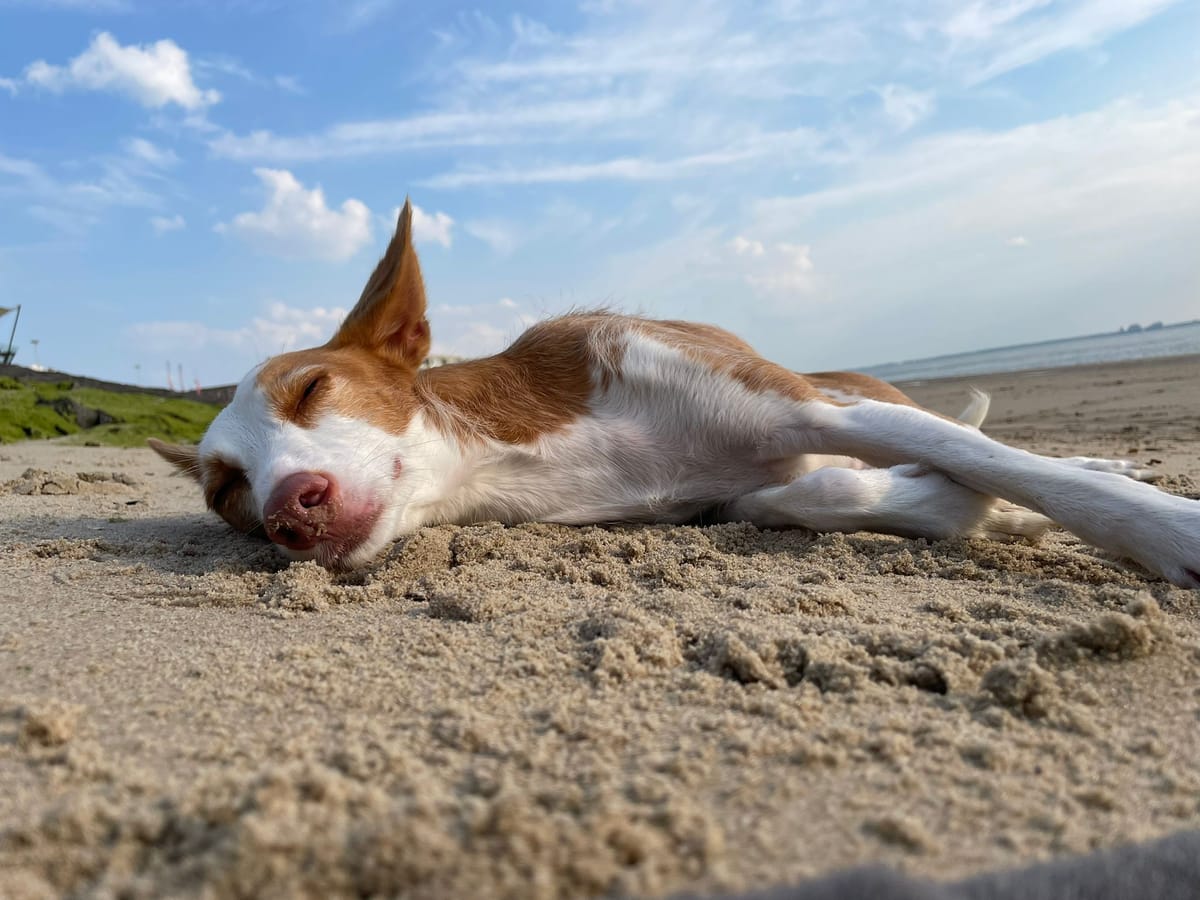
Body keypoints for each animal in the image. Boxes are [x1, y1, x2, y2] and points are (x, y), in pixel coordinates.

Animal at [150, 200, 1200, 588]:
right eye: (225, 491)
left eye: (312, 385)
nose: (290, 511)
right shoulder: (726, 498)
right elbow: (817, 494)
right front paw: (956, 509)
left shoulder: (800, 405)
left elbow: (1000, 465)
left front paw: (1163, 528)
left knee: (981, 435)